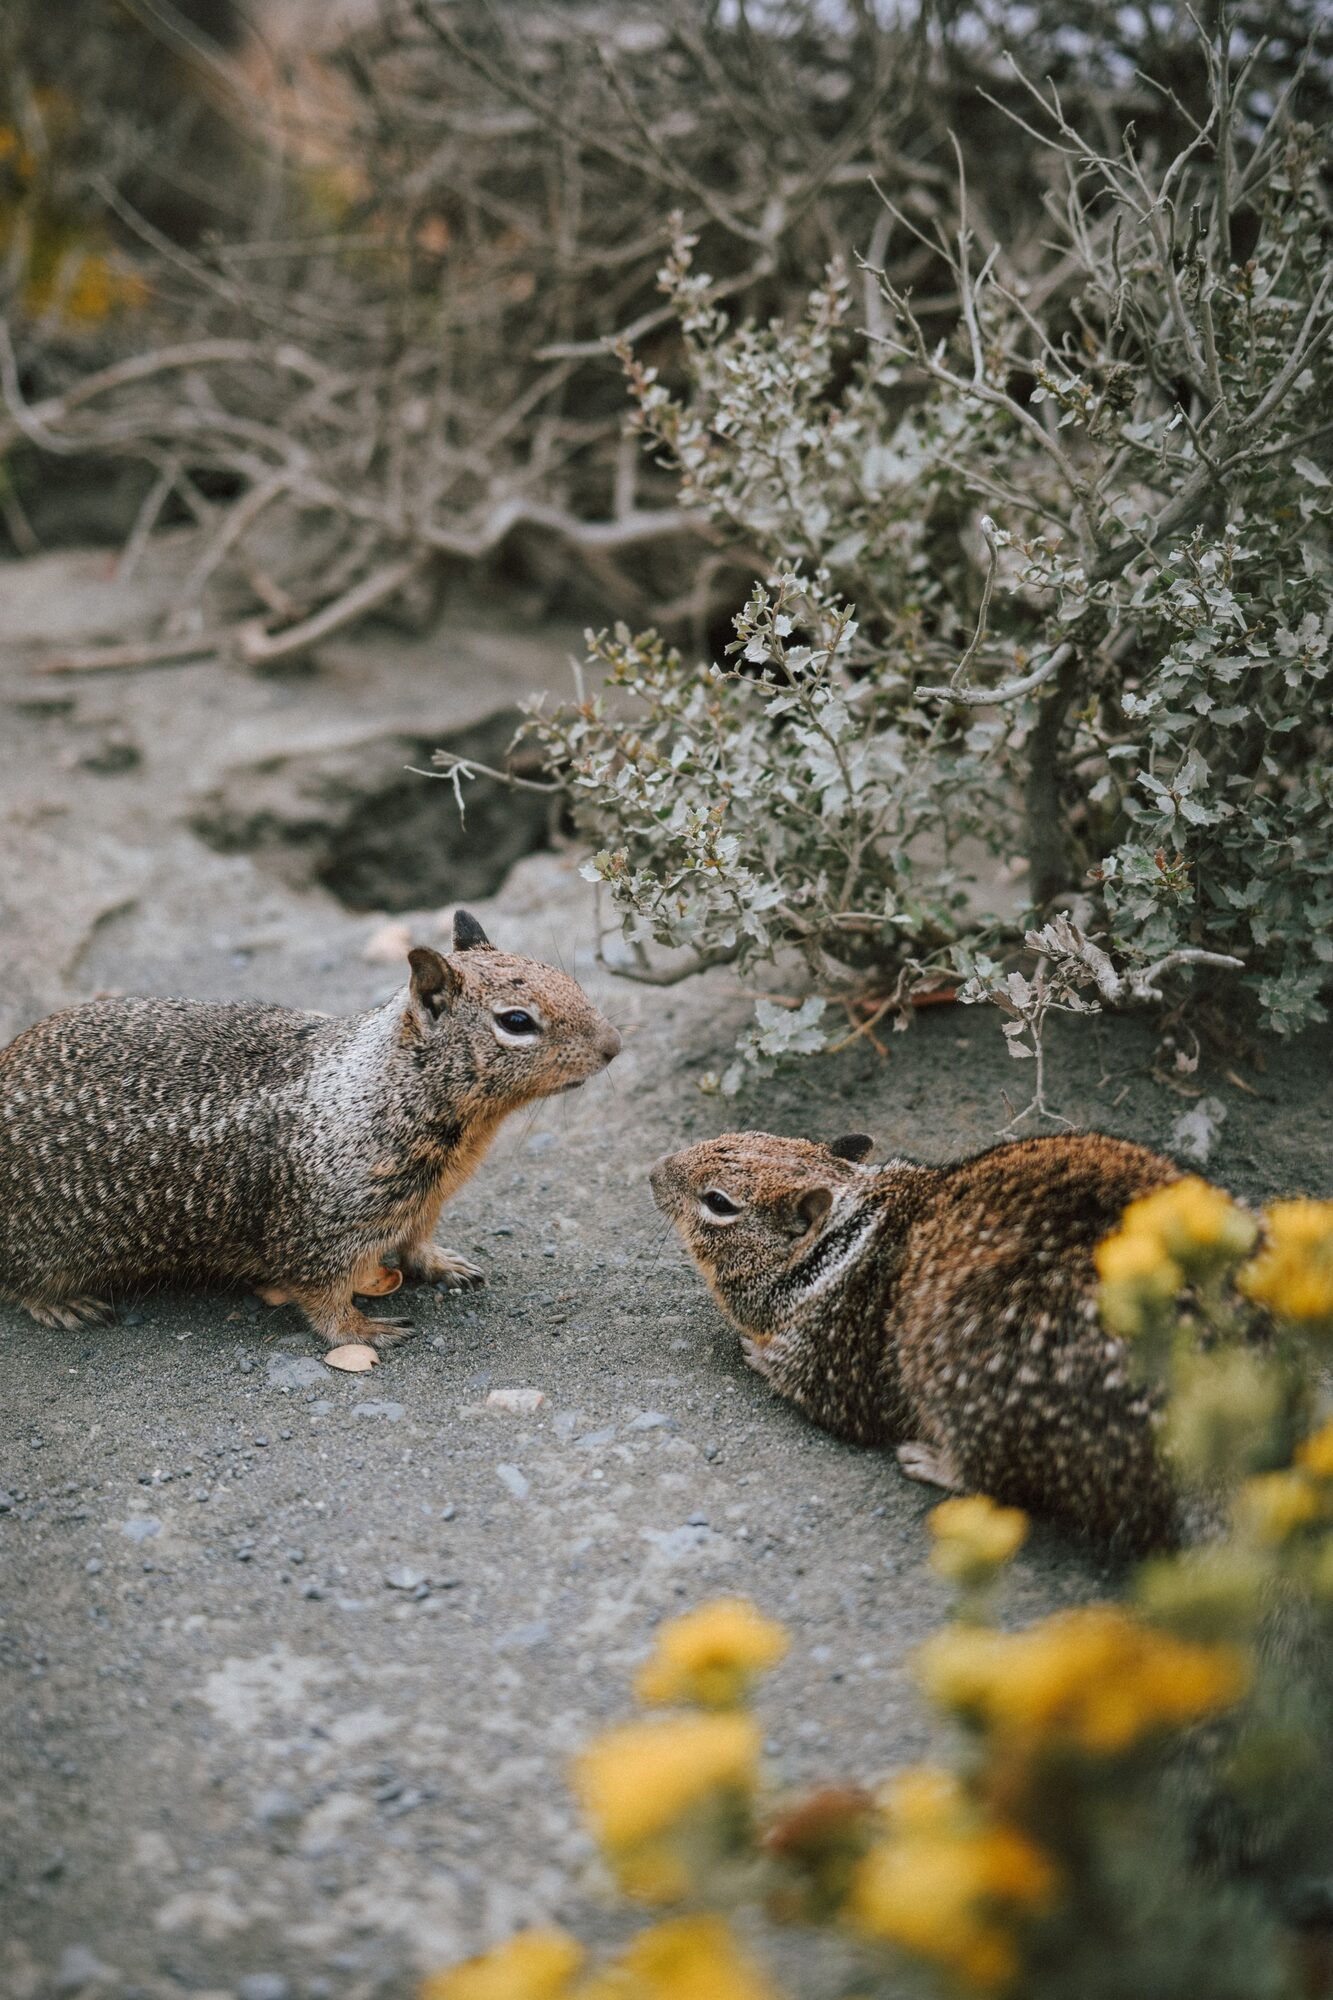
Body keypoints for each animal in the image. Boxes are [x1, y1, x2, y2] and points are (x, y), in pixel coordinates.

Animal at [0, 910, 620, 1355]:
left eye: (570, 980)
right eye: (517, 1021)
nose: (615, 1045)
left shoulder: (423, 1202)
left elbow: (415, 1242)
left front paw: (443, 1263)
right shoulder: (323, 1231)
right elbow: (322, 1299)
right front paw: (364, 1330)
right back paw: (60, 1304)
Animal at [650, 1128, 1191, 1550]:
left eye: (718, 1202)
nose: (653, 1172)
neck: (845, 1237)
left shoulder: (832, 1360)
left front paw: (756, 1351)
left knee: (999, 1483)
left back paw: (928, 1460)